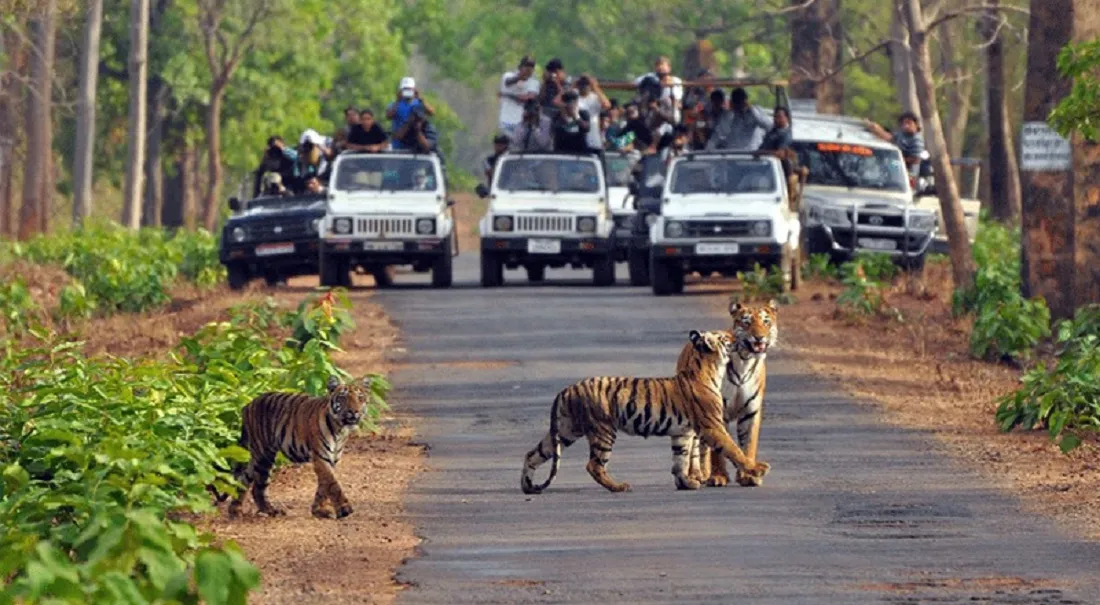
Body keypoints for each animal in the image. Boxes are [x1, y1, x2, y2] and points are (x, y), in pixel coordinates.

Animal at [210, 376, 374, 519]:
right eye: (343, 398)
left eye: (360, 398)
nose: (354, 411)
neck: (340, 429)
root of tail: (248, 405)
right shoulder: (321, 457)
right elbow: (333, 484)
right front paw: (344, 509)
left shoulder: (332, 459)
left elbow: (324, 486)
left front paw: (319, 510)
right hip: (262, 454)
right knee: (254, 484)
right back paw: (244, 512)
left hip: (261, 456)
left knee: (249, 482)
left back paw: (251, 510)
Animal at [519, 330, 770, 495]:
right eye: (726, 338)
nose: (740, 340)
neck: (709, 369)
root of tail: (566, 389)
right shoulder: (712, 426)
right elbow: (734, 449)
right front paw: (756, 469)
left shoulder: (683, 433)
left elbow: (680, 459)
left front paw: (686, 483)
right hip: (603, 430)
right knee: (594, 465)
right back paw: (619, 487)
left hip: (566, 430)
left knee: (532, 454)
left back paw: (527, 486)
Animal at [673, 301, 778, 490]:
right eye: (746, 322)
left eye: (766, 322)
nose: (759, 337)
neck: (745, 361)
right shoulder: (717, 411)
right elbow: (719, 449)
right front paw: (718, 477)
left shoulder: (751, 411)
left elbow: (747, 444)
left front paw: (748, 476)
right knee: (694, 445)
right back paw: (696, 475)